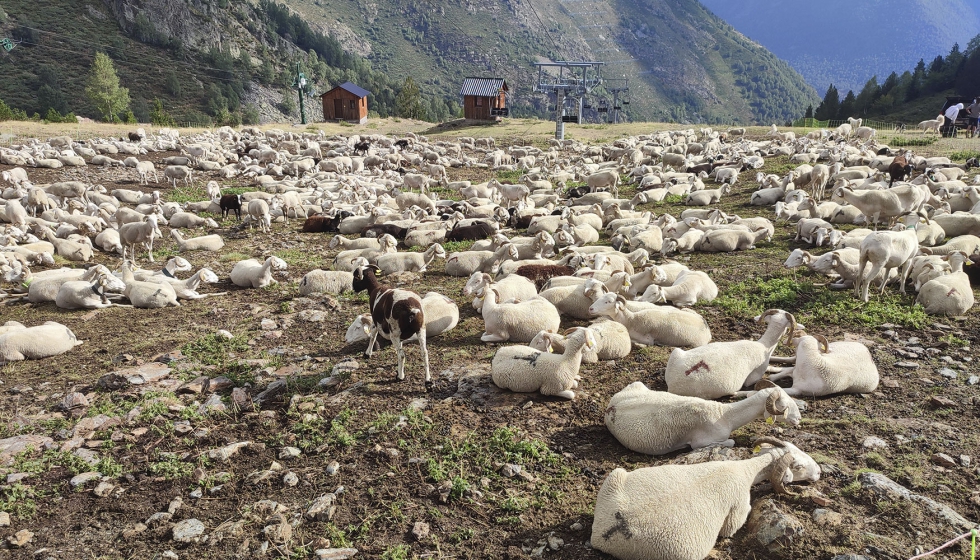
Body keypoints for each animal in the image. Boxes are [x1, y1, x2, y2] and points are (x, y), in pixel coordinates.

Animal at [591, 438, 819, 560]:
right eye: (797, 465)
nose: (819, 472)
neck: (745, 469)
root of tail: (608, 531)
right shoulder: (738, 511)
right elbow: (730, 529)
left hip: (614, 477)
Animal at [605, 380, 801, 455]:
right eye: (784, 404)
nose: (798, 419)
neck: (724, 415)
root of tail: (611, 406)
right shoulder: (701, 442)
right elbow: (731, 442)